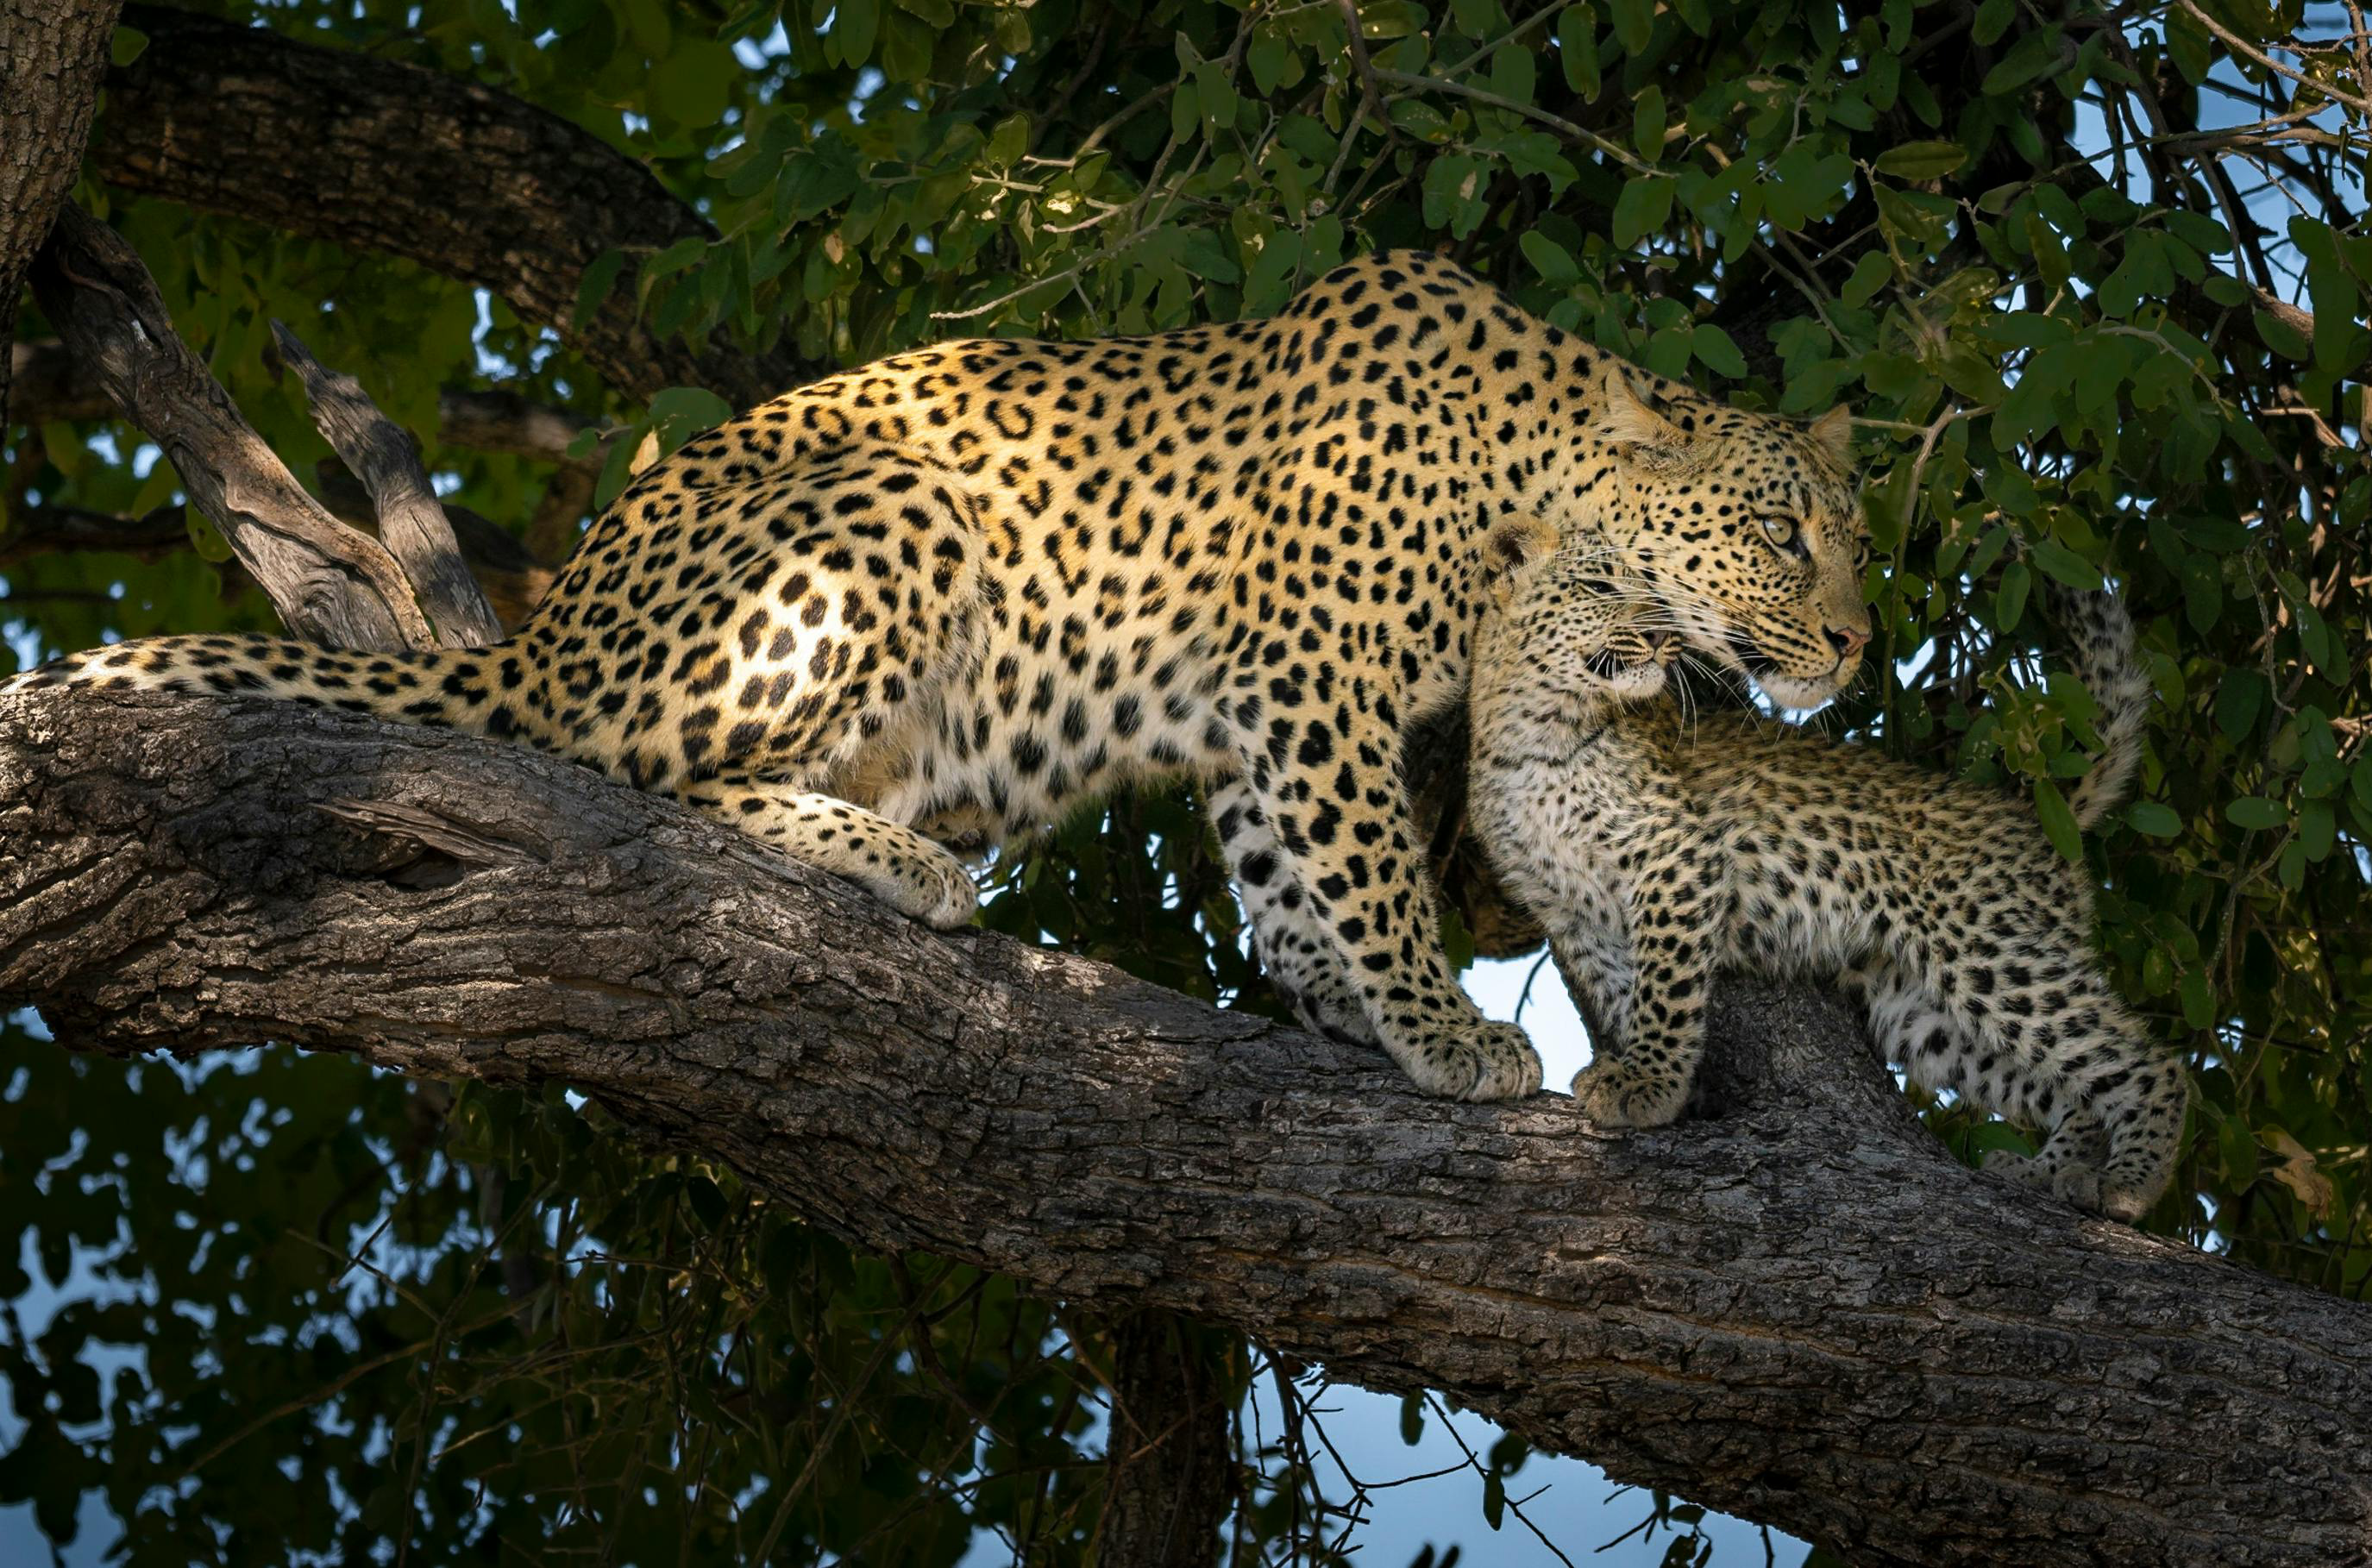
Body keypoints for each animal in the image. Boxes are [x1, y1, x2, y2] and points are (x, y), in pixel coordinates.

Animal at [5, 250, 1871, 1104]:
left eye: (1848, 538)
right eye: (1785, 534)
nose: (1858, 641)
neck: (1533, 486)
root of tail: (551, 623)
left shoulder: (1258, 718)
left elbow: (1287, 881)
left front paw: (1343, 1014)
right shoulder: (1314, 676)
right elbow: (1367, 866)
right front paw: (1440, 1031)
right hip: (881, 509)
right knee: (640, 775)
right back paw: (897, 865)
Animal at [1467, 524, 2187, 1221]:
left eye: (1656, 596)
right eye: (1597, 586)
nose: (1658, 638)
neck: (1528, 733)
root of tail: (2034, 816)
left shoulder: (1677, 855)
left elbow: (1666, 991)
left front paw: (1649, 1084)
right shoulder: (1574, 913)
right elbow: (1624, 994)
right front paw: (1660, 1085)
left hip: (1992, 952)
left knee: (2148, 1060)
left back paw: (2130, 1182)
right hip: (1924, 1015)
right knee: (2072, 1088)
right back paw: (2052, 1174)